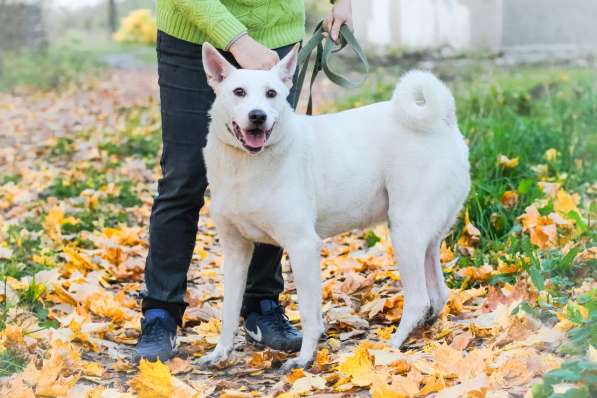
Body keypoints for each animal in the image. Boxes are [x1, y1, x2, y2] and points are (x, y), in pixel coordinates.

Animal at [198, 42, 468, 372]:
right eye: (238, 92)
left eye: (272, 93)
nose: (258, 116)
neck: (246, 164)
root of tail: (443, 120)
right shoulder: (236, 252)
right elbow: (228, 312)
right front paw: (220, 352)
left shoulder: (302, 247)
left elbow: (309, 314)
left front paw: (304, 358)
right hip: (425, 238)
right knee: (438, 293)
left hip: (405, 232)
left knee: (419, 300)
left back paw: (391, 346)